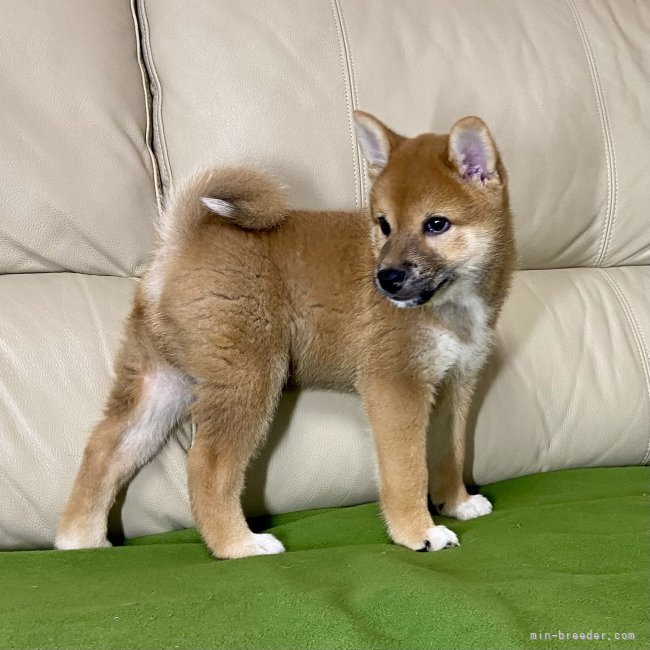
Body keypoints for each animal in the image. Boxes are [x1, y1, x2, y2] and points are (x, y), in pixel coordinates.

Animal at [54, 111, 512, 556]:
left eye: (436, 224)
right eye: (383, 225)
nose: (386, 278)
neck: (453, 303)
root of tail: (177, 243)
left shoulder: (455, 385)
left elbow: (450, 451)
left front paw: (456, 502)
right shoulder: (396, 385)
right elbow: (407, 471)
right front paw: (418, 532)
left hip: (163, 383)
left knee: (105, 449)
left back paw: (80, 540)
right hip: (248, 376)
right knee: (206, 466)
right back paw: (239, 544)